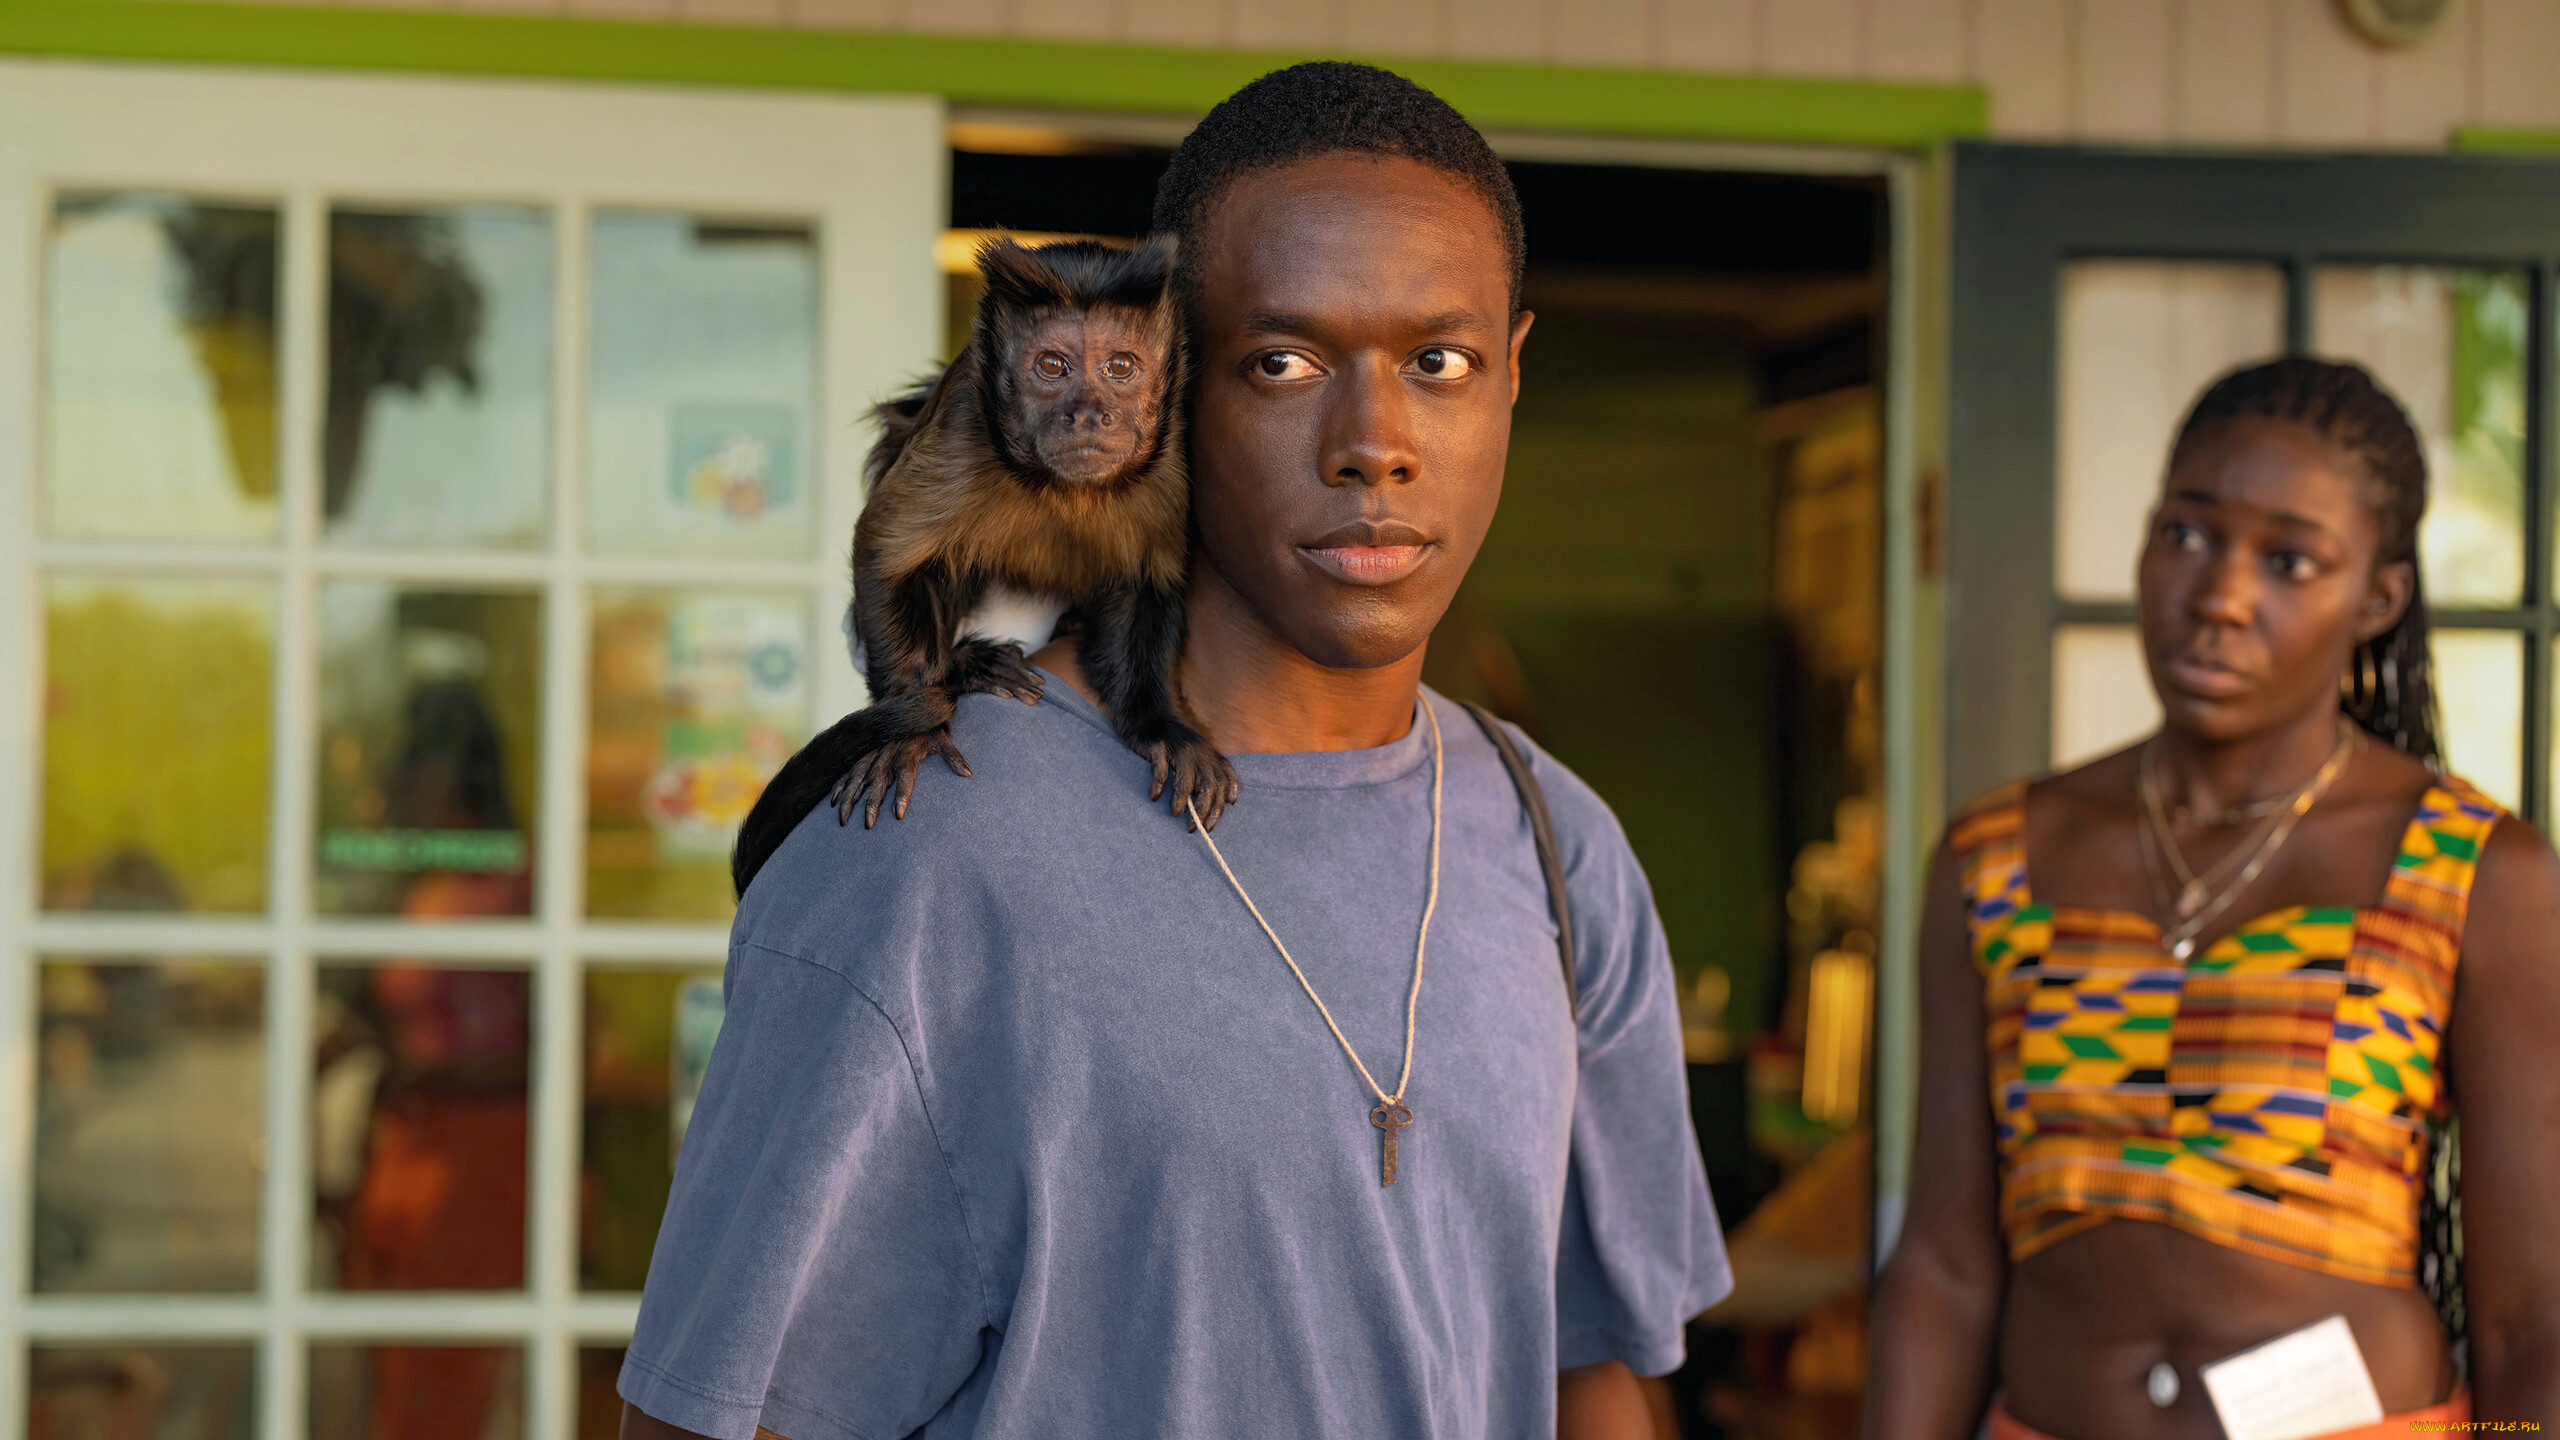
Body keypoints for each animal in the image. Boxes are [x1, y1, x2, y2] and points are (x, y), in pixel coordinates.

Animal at [729, 235, 1237, 898]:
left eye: (1120, 368)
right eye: (1053, 366)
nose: (1088, 413)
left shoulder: (1172, 448)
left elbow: (1148, 580)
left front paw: (1159, 725)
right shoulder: (964, 421)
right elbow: (886, 552)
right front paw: (914, 728)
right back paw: (969, 666)